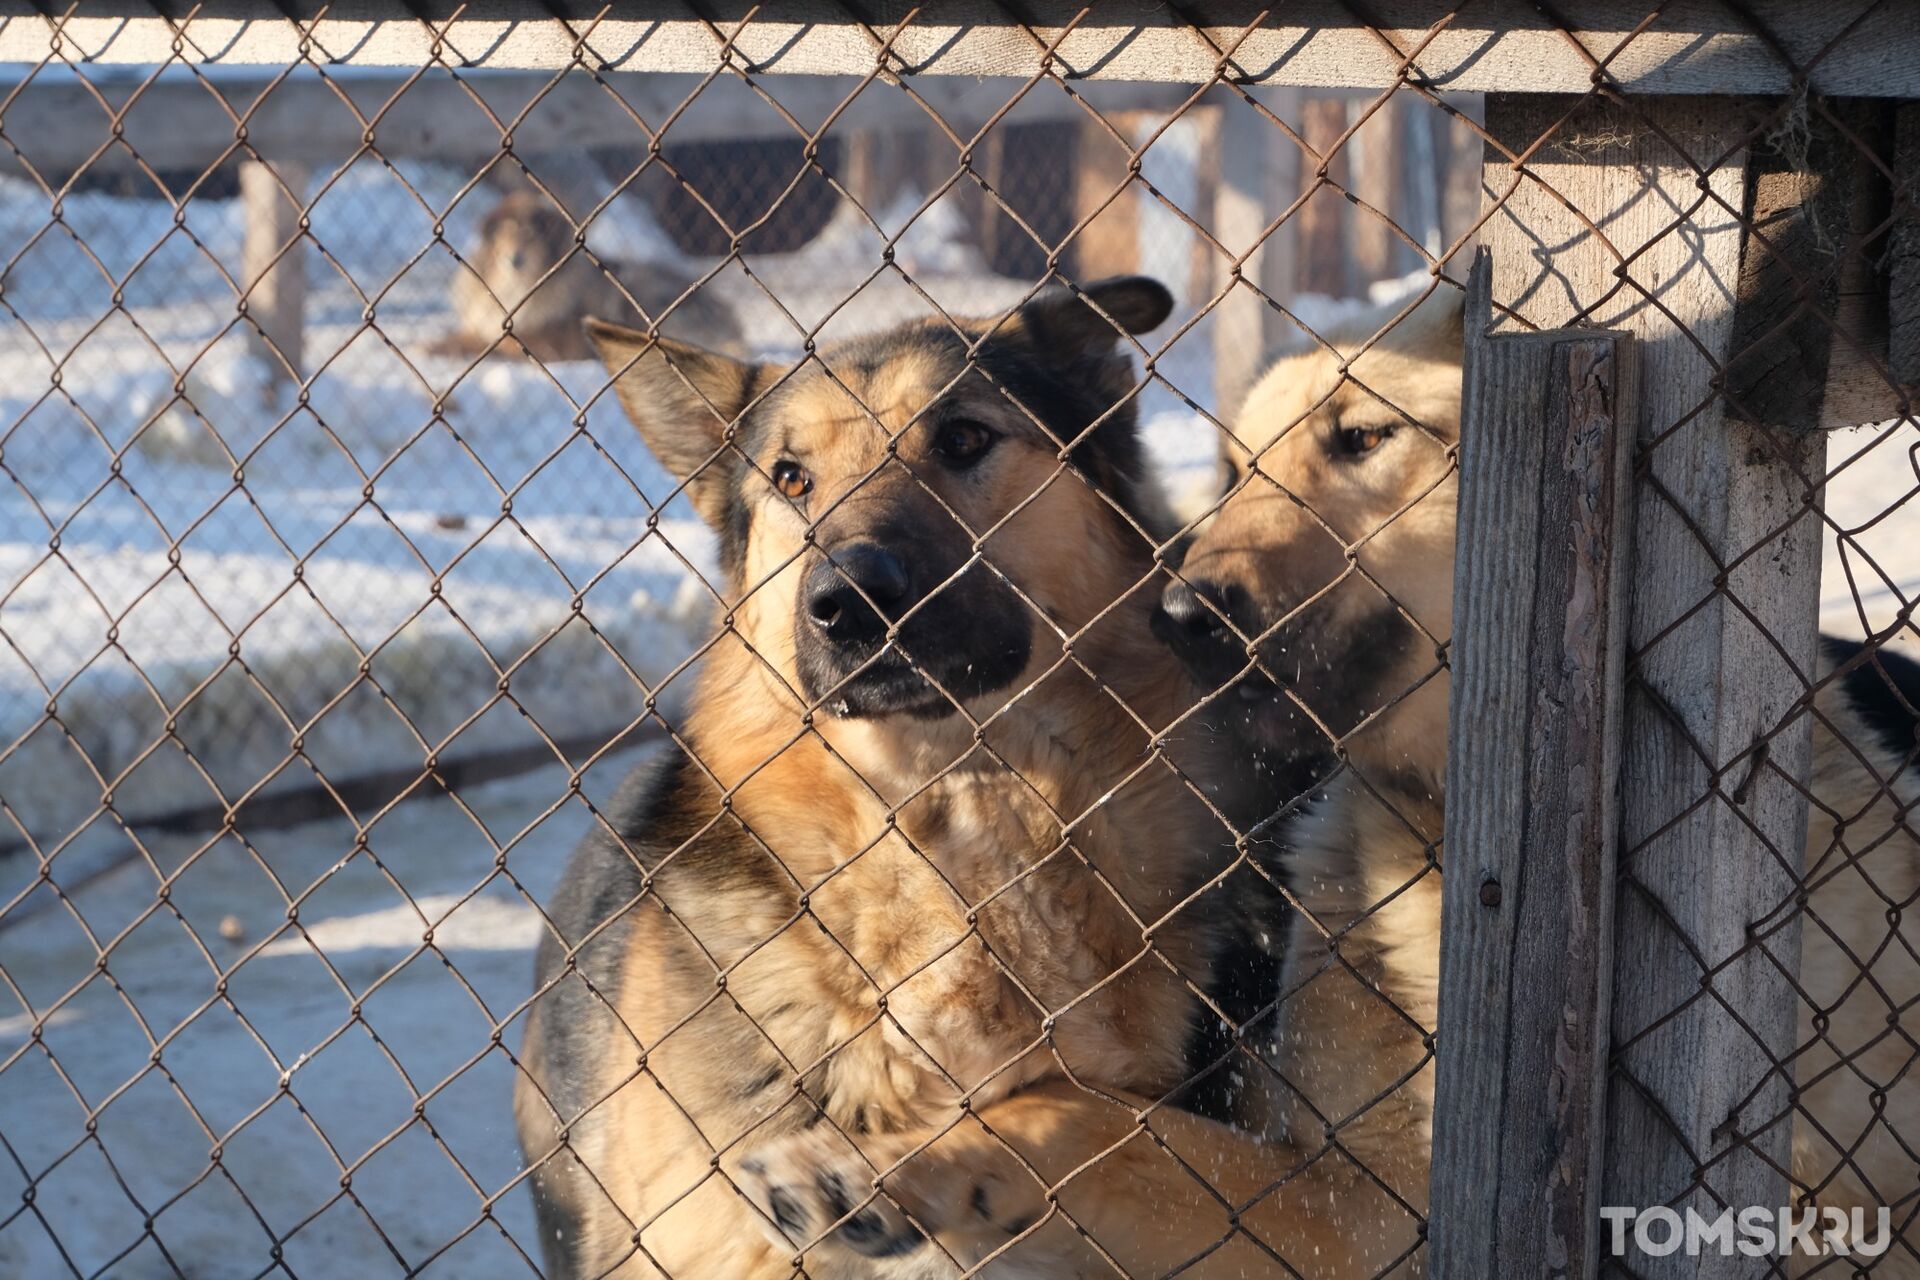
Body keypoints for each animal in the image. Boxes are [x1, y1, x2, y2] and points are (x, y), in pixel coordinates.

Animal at [518, 282, 1420, 1280]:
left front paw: (897, 1171)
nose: (845, 602)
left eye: (960, 439)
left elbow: (1106, 1123)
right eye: (791, 479)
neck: (963, 811)